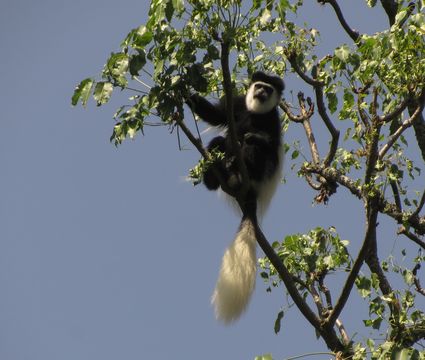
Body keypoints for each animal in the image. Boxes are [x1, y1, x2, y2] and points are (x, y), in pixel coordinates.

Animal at [187, 70, 284, 324]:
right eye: (259, 86)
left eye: (268, 89)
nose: (261, 93)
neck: (255, 112)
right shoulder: (238, 104)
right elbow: (215, 115)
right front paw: (184, 91)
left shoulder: (273, 122)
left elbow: (269, 148)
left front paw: (255, 138)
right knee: (218, 143)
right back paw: (216, 174)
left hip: (258, 177)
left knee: (256, 152)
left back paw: (239, 168)